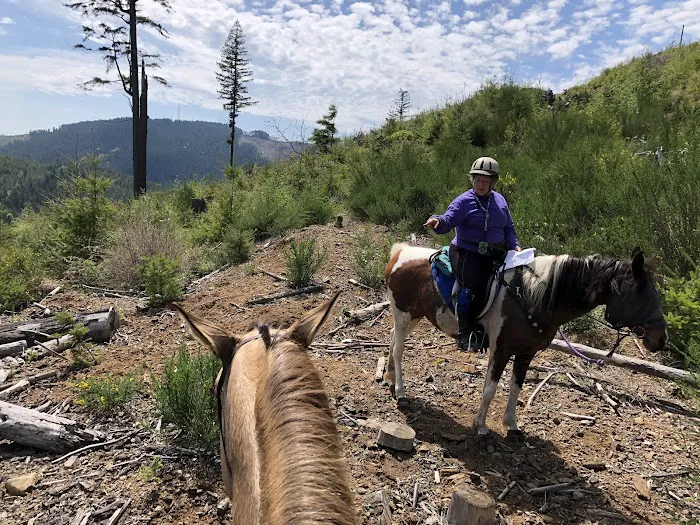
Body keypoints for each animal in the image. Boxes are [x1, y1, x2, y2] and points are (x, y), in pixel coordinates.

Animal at [384, 243, 669, 440]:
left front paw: (512, 425)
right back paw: (401, 392)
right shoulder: (500, 349)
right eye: (641, 294)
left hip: (414, 316)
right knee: (398, 350)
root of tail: (402, 252)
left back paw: (390, 378)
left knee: (392, 344)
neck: (532, 296)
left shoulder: (525, 353)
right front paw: (481, 426)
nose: (662, 338)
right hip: (403, 314)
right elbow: (490, 389)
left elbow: (516, 387)